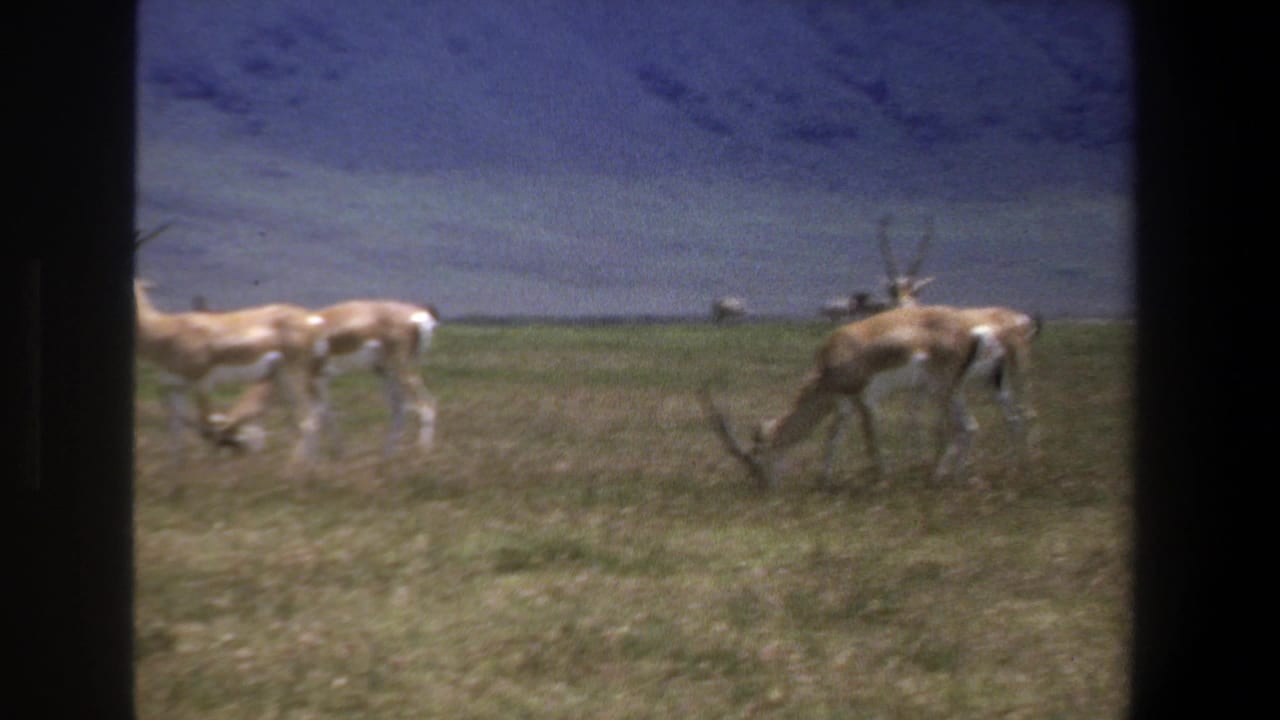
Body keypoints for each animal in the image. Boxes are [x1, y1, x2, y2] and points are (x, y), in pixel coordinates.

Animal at [702, 305, 1000, 489]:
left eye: (757, 457)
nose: (765, 487)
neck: (831, 359)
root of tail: (971, 332)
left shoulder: (864, 399)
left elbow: (871, 441)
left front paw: (882, 481)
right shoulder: (843, 403)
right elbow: (833, 440)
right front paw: (824, 482)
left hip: (942, 389)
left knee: (962, 427)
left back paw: (938, 478)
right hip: (951, 390)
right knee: (969, 427)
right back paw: (951, 479)